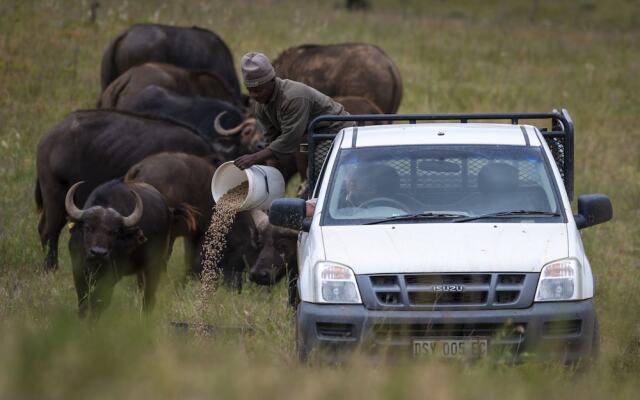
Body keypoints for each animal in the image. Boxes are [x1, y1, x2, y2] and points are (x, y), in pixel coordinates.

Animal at [124, 151, 258, 288]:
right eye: (242, 250)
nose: (237, 285)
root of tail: (140, 168)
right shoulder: (197, 234)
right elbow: (192, 258)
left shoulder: (191, 234)